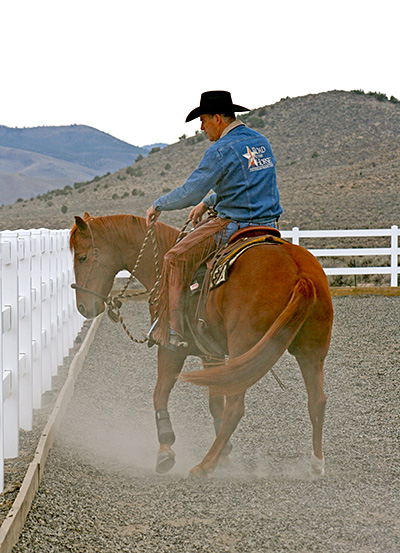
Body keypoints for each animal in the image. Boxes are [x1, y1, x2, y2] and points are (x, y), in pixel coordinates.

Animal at [70, 213, 332, 476]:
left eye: (82, 257)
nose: (83, 306)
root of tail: (299, 272)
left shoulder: (171, 348)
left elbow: (160, 393)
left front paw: (165, 449)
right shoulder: (212, 354)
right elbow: (215, 402)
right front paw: (226, 454)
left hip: (243, 348)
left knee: (235, 407)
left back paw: (204, 466)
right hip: (311, 352)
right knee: (317, 401)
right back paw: (316, 464)